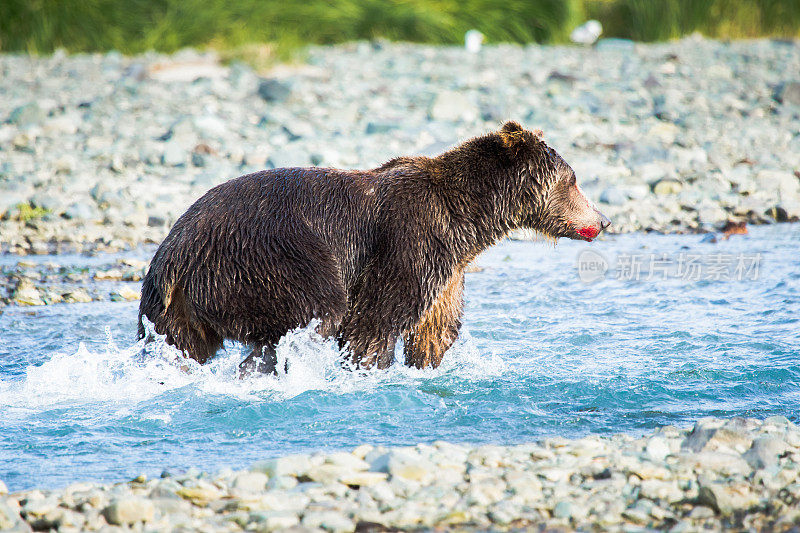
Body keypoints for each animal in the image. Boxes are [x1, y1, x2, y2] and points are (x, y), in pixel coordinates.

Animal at [139, 121, 612, 374]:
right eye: (573, 179)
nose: (604, 219)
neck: (467, 218)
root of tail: (173, 254)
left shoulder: (448, 266)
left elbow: (436, 328)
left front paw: (427, 363)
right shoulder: (407, 237)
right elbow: (373, 321)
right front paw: (369, 367)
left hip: (175, 308)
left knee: (178, 348)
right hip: (267, 259)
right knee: (315, 313)